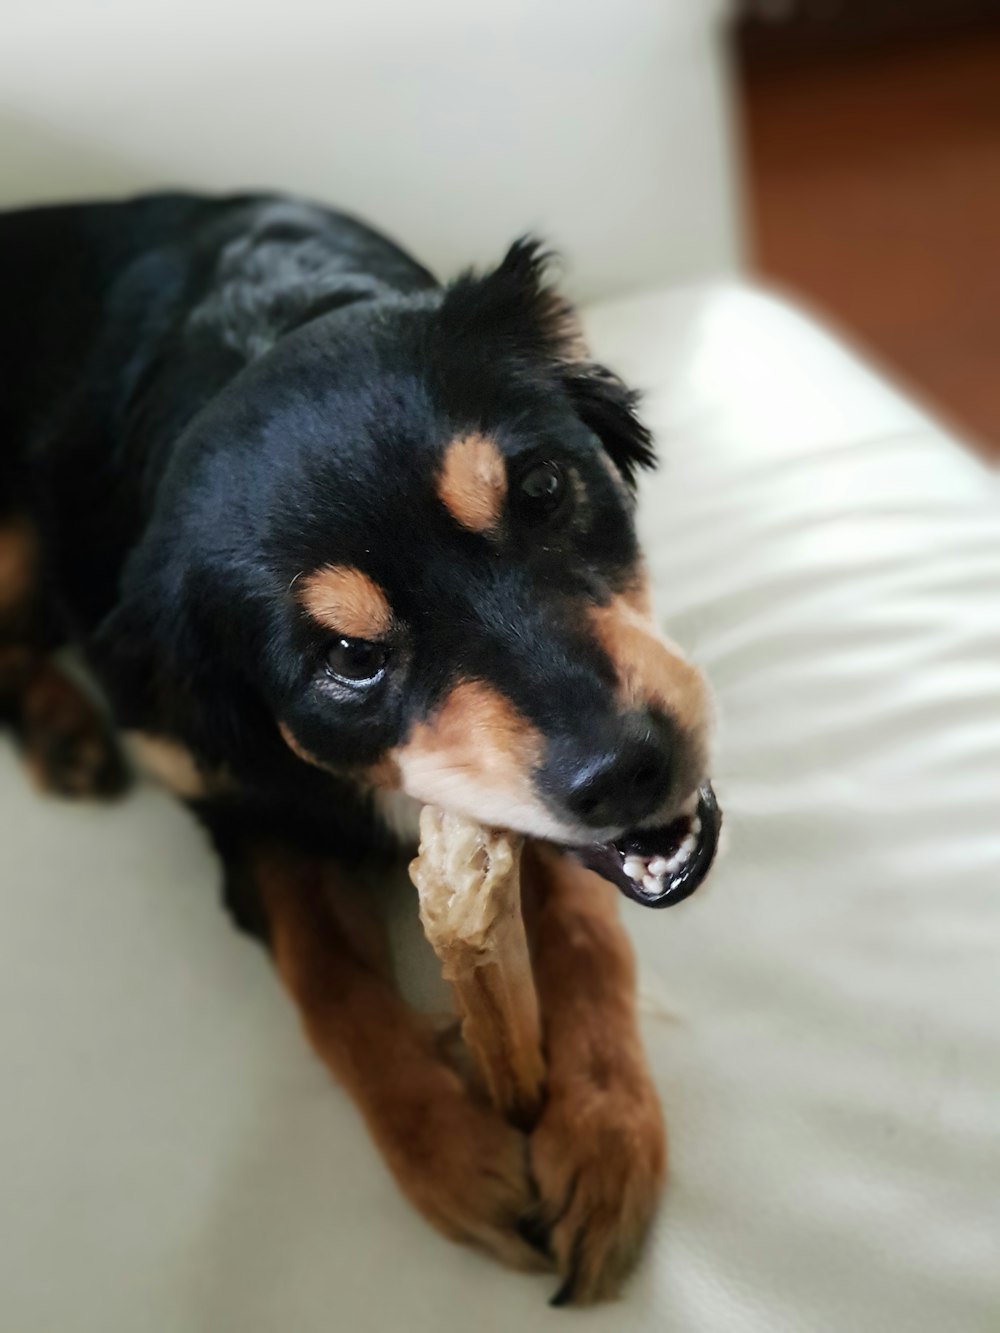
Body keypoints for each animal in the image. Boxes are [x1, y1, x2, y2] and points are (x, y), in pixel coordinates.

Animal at [0, 193, 720, 1306]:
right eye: (347, 658)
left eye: (543, 486)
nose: (630, 769)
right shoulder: (247, 815)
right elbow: (328, 981)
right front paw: (448, 1155)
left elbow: (587, 930)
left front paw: (604, 1126)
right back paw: (62, 728)